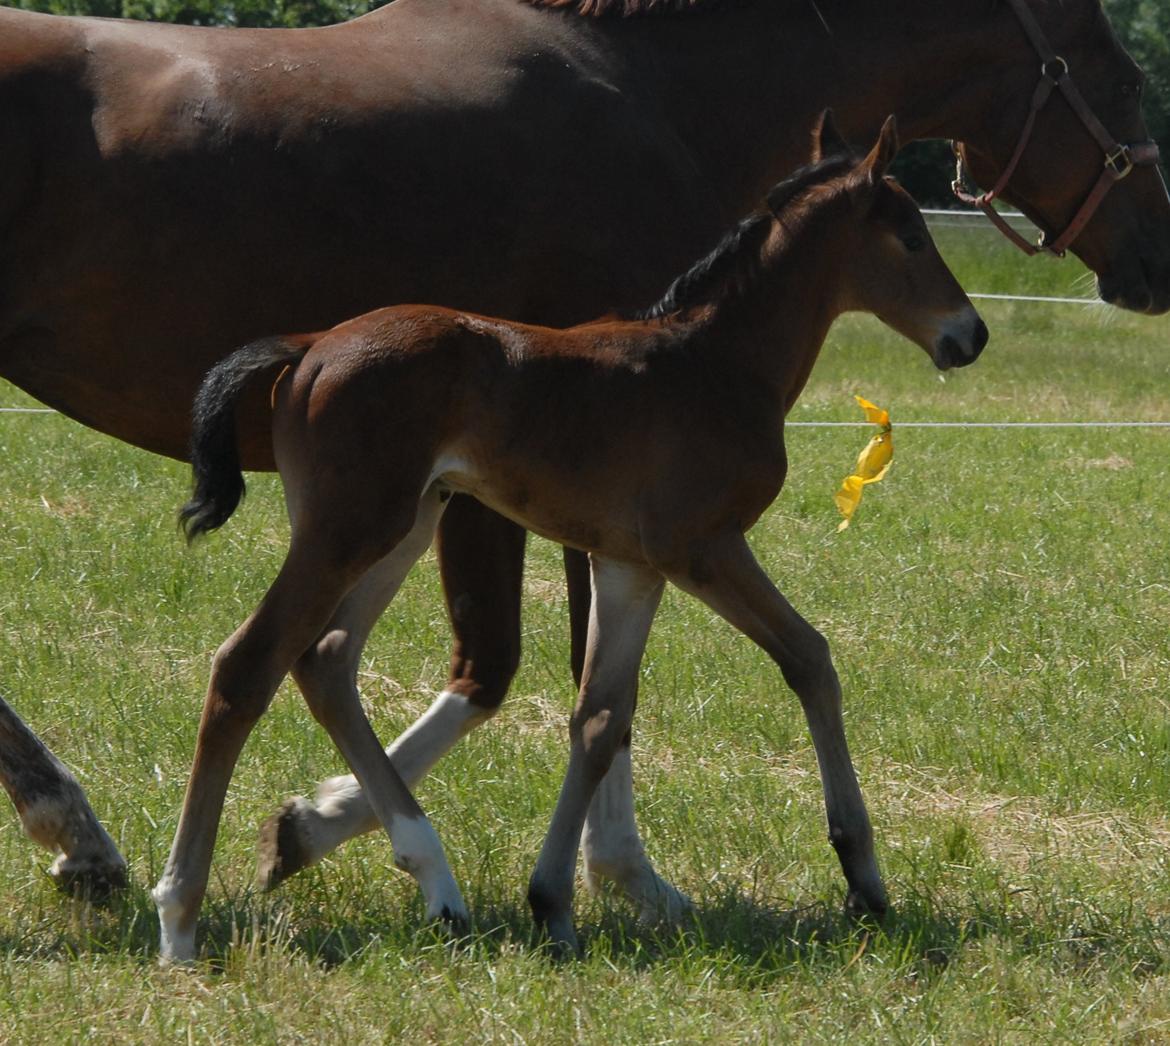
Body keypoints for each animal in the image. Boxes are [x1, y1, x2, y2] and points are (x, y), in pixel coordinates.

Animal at [160, 112, 987, 959]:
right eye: (912, 236)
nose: (972, 333)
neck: (717, 362)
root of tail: (309, 346)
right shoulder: (703, 549)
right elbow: (811, 660)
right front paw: (864, 876)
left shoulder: (629, 565)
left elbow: (599, 718)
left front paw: (553, 902)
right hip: (347, 531)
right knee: (247, 667)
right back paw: (180, 917)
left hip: (403, 527)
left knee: (324, 661)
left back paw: (429, 879)